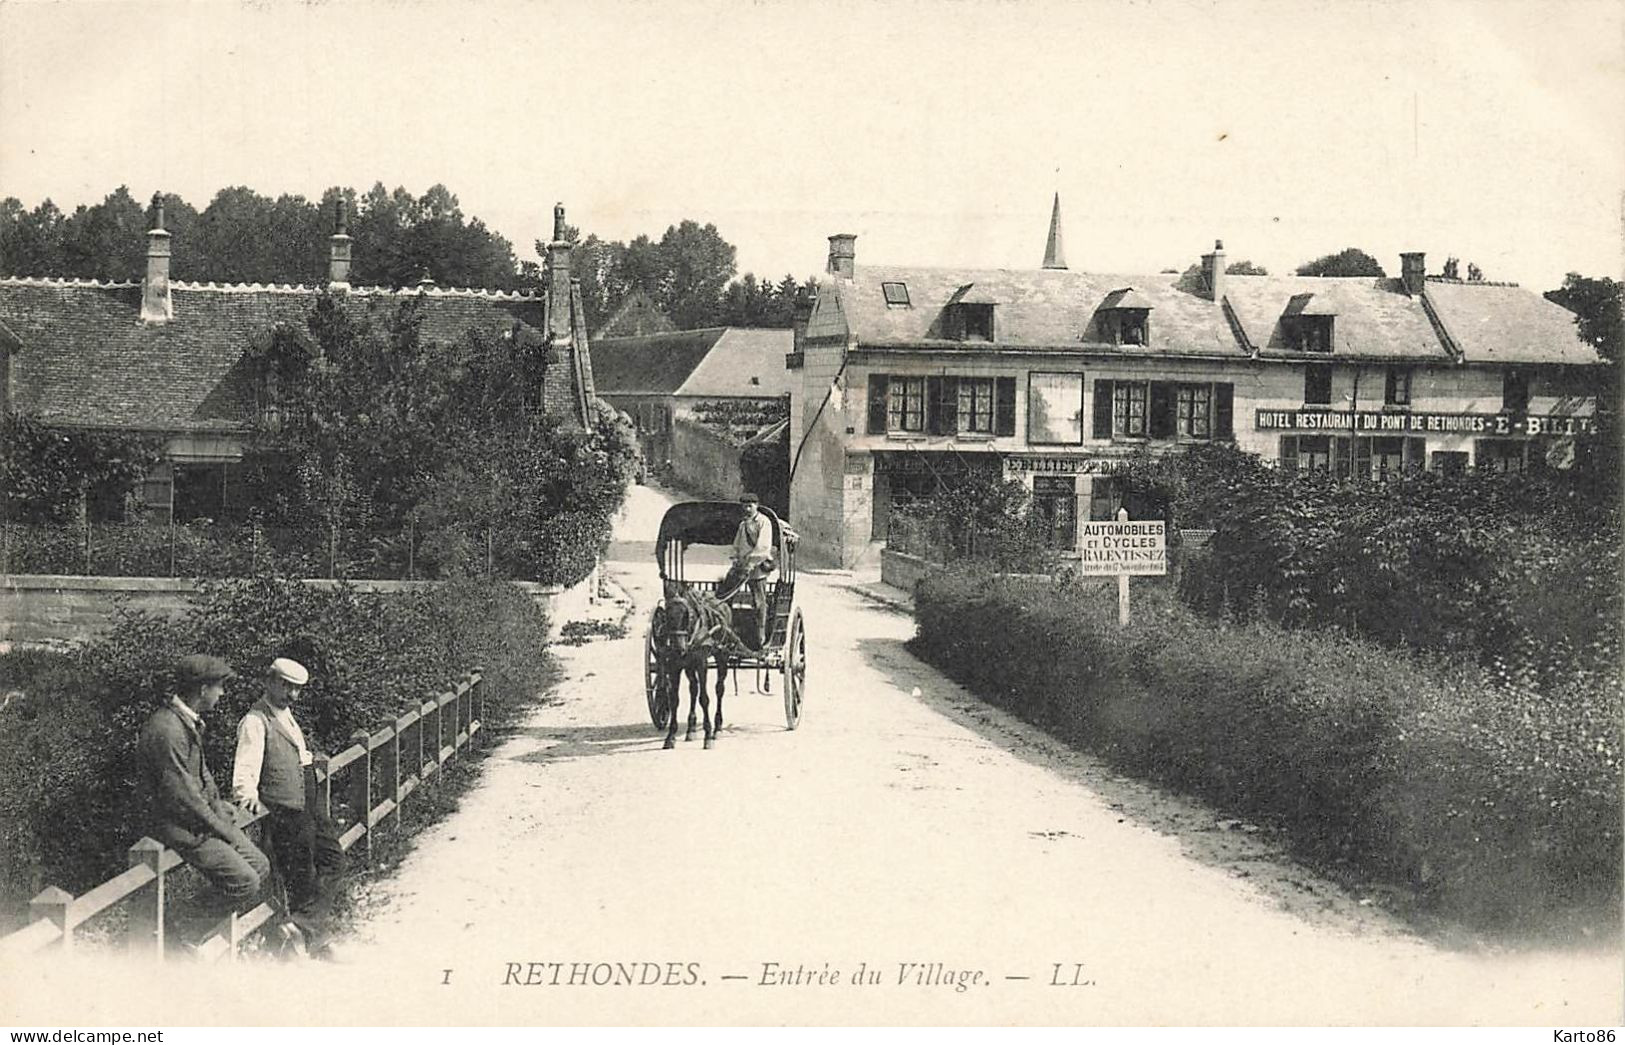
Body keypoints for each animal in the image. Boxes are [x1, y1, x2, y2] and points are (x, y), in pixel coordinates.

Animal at [650, 585, 744, 747]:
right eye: (667, 616)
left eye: (687, 615)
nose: (679, 649)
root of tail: (723, 602)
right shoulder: (675, 665)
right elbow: (674, 699)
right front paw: (670, 736)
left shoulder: (701, 663)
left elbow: (704, 699)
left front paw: (707, 736)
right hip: (689, 665)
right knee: (693, 688)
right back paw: (691, 729)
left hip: (722, 656)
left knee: (719, 689)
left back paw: (717, 728)